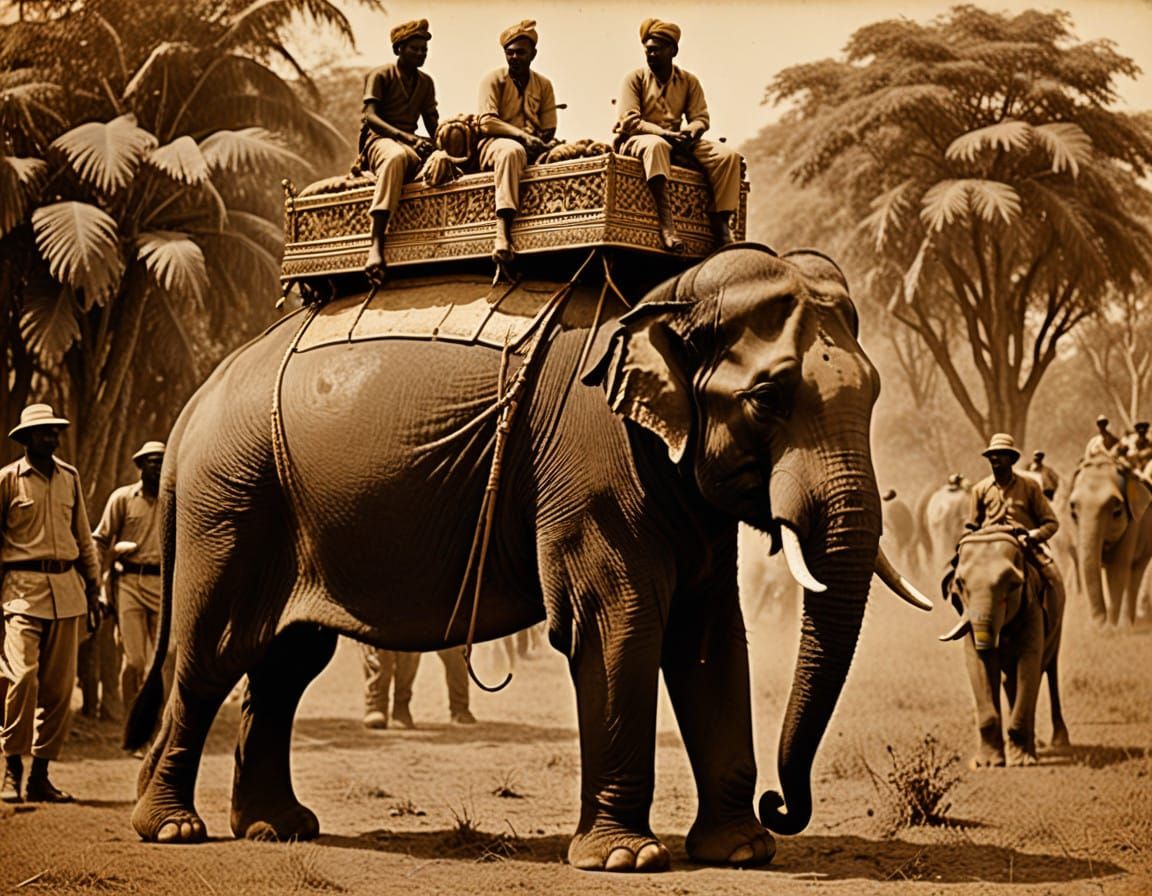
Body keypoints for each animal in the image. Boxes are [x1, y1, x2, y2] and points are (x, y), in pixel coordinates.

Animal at [123, 244, 931, 871]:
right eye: (767, 399)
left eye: (874, 394)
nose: (780, 803)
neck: (663, 297)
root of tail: (191, 410)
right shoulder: (589, 459)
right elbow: (617, 623)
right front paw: (626, 859)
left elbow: (709, 637)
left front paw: (740, 851)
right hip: (232, 500)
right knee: (214, 654)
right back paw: (173, 830)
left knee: (287, 664)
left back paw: (277, 829)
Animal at [940, 526, 1069, 767]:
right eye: (960, 584)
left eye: (1013, 585)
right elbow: (977, 665)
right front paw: (988, 764)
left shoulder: (1033, 606)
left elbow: (1029, 663)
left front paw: (1022, 762)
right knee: (1011, 681)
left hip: (1058, 620)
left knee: (1049, 671)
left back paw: (1058, 742)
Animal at [1068, 456, 1152, 627]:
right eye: (1073, 512)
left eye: (1117, 512)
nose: (1100, 622)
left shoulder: (1133, 527)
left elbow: (1117, 570)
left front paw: (1109, 629)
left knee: (1134, 573)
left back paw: (1126, 626)